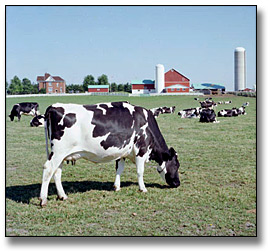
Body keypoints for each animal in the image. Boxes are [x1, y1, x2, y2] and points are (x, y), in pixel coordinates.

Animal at [39, 102, 181, 207]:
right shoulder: (141, 150)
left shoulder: (122, 152)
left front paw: (116, 186)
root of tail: (54, 107)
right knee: (48, 169)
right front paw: (143, 188)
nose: (178, 183)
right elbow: (140, 171)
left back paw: (62, 196)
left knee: (57, 172)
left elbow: (119, 169)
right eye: (176, 165)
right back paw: (43, 199)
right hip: (58, 152)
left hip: (61, 155)